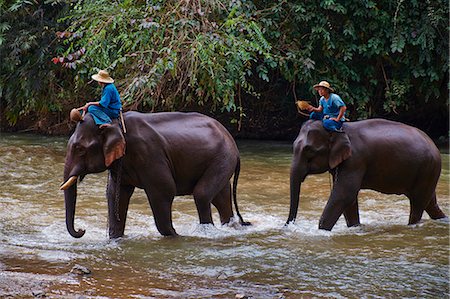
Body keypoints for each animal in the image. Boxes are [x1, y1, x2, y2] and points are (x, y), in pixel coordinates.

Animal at [59, 111, 250, 240]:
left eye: (80, 149)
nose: (82, 230)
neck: (116, 122)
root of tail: (233, 142)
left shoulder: (150, 154)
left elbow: (164, 190)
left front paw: (175, 235)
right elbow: (115, 194)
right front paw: (115, 238)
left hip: (223, 158)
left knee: (202, 194)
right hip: (221, 161)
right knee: (221, 198)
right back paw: (232, 228)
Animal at [288, 118, 446, 231]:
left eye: (309, 150)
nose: (288, 226)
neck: (340, 129)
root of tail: (434, 146)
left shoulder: (355, 160)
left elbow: (344, 194)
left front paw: (321, 231)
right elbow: (349, 199)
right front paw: (355, 228)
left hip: (427, 169)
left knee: (418, 203)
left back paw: (412, 226)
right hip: (427, 172)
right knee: (430, 202)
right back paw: (443, 220)